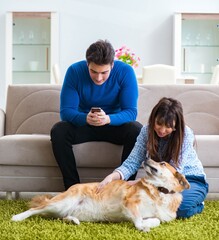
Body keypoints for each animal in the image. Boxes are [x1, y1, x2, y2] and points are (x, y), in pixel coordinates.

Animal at [11, 159, 190, 232]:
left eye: (162, 163)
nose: (147, 158)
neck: (160, 190)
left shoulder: (157, 215)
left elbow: (156, 220)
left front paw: (148, 224)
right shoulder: (129, 202)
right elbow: (139, 220)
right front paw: (142, 227)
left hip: (64, 210)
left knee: (62, 217)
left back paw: (73, 220)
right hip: (61, 202)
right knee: (35, 209)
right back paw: (17, 217)